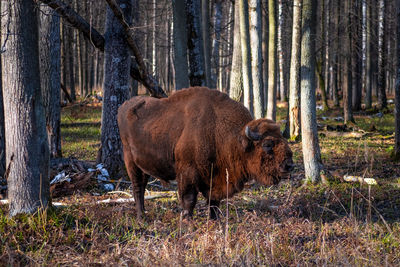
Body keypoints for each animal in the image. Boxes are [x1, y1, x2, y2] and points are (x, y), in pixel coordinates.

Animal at [117, 87, 292, 220]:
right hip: (130, 162)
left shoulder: (215, 178)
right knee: (138, 188)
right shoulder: (187, 173)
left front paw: (214, 221)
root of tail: (122, 107)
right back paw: (141, 217)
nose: (289, 165)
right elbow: (189, 200)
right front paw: (187, 221)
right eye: (267, 144)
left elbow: (213, 202)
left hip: (144, 165)